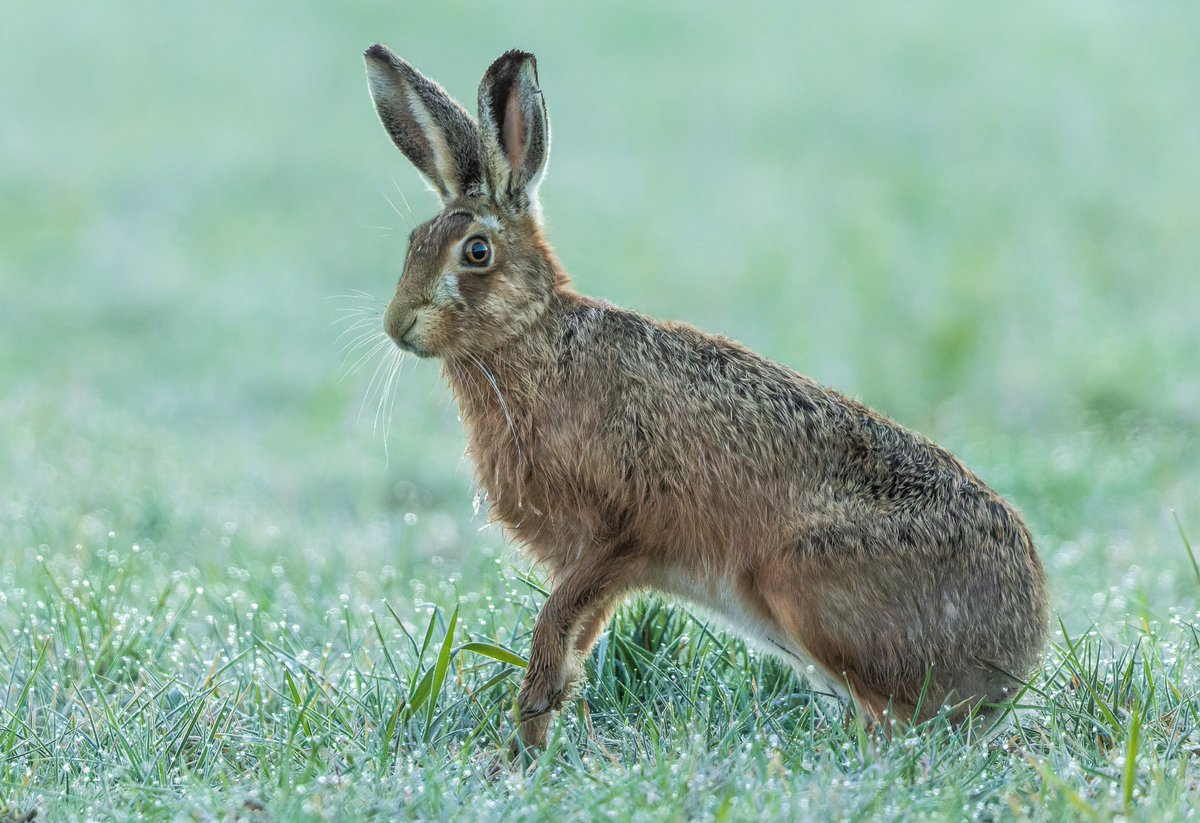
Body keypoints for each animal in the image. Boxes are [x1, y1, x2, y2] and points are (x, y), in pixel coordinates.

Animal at [362, 44, 1050, 748]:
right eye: (413, 243)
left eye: (476, 252)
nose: (398, 325)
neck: (531, 334)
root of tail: (1020, 648)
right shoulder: (600, 566)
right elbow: (572, 642)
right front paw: (535, 738)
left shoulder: (619, 534)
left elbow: (555, 623)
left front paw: (525, 737)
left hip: (804, 582)